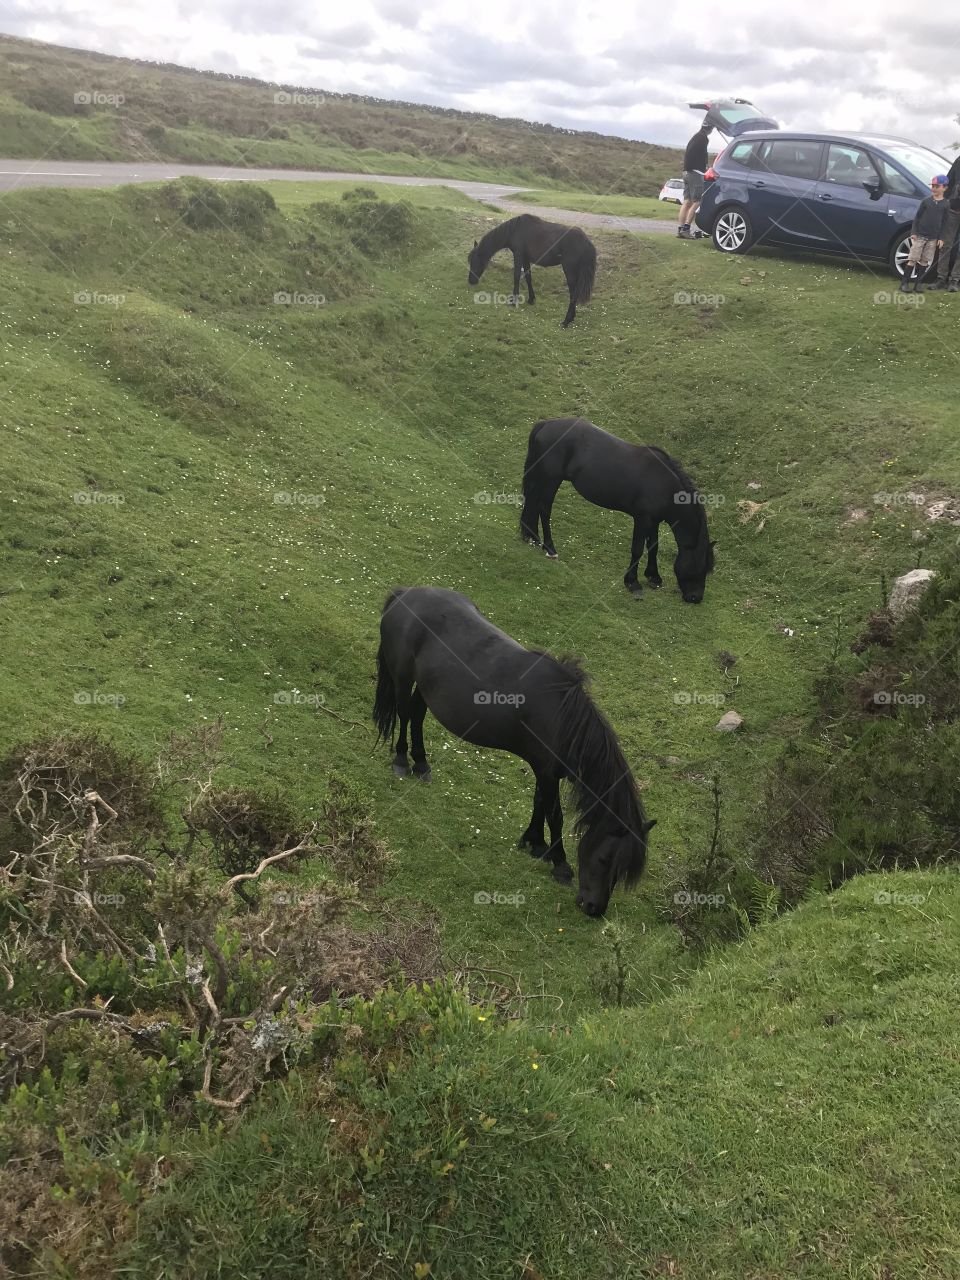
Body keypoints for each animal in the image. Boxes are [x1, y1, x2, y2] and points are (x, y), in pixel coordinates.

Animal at [373, 587, 653, 916]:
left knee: (417, 715)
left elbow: (539, 803)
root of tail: (406, 594)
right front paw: (559, 863)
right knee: (405, 715)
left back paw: (422, 764)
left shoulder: (545, 770)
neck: (562, 718)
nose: (594, 908)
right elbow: (554, 815)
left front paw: (534, 843)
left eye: (621, 871)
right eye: (605, 859)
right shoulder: (547, 771)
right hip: (403, 678)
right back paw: (402, 761)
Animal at [467, 214, 596, 328]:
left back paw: (566, 321)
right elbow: (528, 277)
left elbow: (516, 276)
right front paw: (531, 299)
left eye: (474, 262)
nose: (471, 281)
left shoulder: (518, 255)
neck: (515, 229)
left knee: (573, 293)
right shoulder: (526, 258)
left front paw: (513, 302)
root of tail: (587, 242)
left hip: (569, 270)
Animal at [519, 418, 716, 603]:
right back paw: (550, 548)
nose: (696, 598)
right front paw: (632, 582)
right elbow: (637, 549)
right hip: (551, 479)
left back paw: (532, 538)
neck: (664, 485)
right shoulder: (642, 519)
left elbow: (653, 546)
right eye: (701, 566)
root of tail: (546, 424)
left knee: (532, 503)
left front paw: (654, 577)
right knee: (544, 509)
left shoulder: (654, 521)